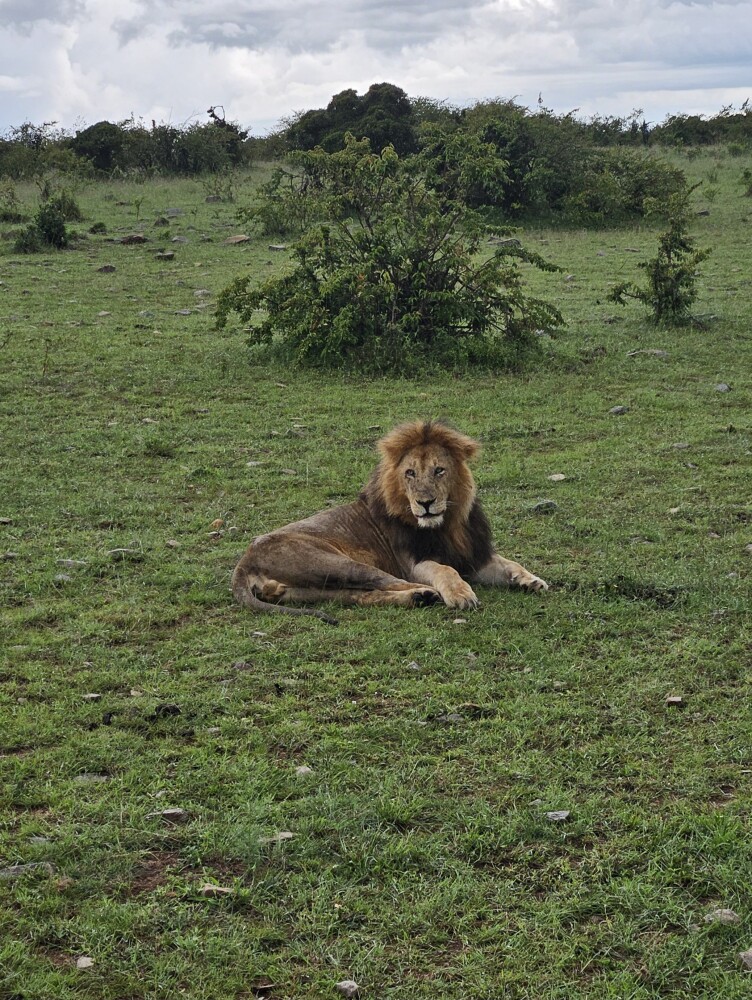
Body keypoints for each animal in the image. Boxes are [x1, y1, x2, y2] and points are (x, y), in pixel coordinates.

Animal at [232, 420, 548, 624]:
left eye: (439, 470)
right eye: (410, 473)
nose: (425, 503)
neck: (447, 524)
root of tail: (244, 561)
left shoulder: (474, 555)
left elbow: (510, 563)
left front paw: (531, 580)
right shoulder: (414, 562)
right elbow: (445, 570)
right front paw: (460, 593)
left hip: (311, 589)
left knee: (359, 596)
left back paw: (419, 598)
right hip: (336, 563)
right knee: (389, 582)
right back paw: (428, 593)